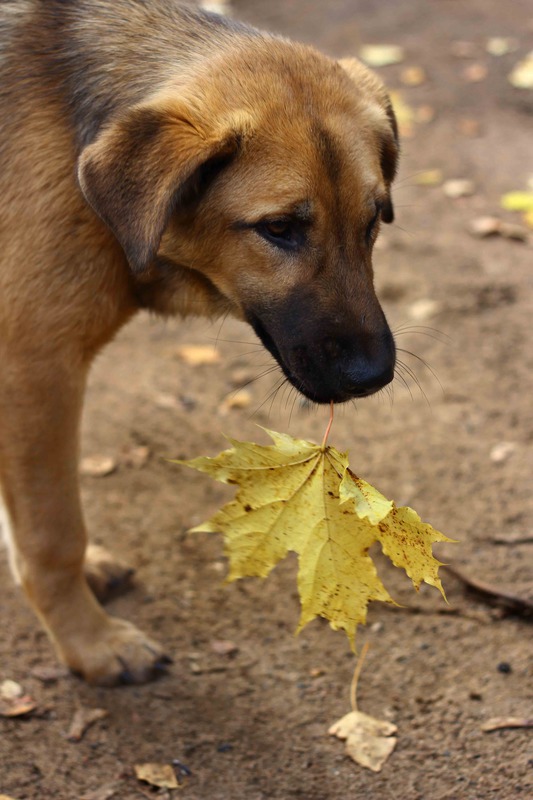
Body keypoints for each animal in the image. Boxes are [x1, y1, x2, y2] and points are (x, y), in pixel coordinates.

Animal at [0, 0, 396, 688]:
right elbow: (53, 533)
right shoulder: (34, 369)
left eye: (373, 219)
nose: (375, 375)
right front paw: (90, 642)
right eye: (279, 229)